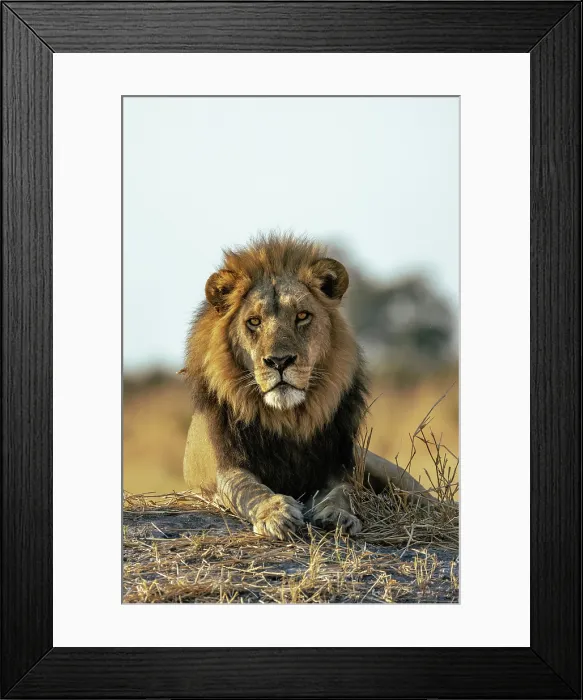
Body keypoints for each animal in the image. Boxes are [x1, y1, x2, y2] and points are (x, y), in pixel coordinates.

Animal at [181, 233, 435, 540]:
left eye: (302, 316)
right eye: (253, 322)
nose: (279, 361)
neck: (288, 418)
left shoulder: (337, 467)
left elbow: (344, 492)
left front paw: (338, 515)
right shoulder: (225, 466)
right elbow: (248, 489)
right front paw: (276, 513)